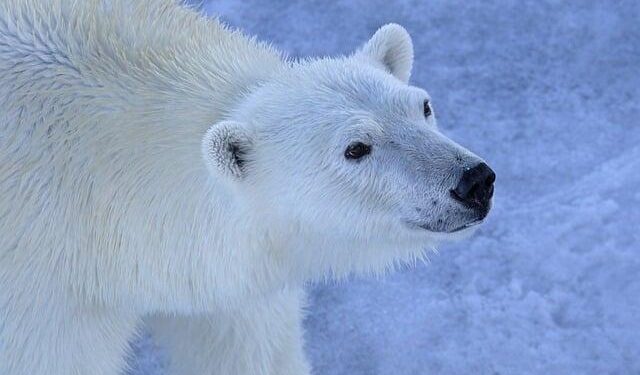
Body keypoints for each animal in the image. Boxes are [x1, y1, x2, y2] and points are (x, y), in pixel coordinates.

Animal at [0, 0, 496, 375]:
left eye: (423, 107)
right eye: (356, 148)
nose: (474, 181)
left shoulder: (228, 271)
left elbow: (246, 347)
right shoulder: (43, 299)